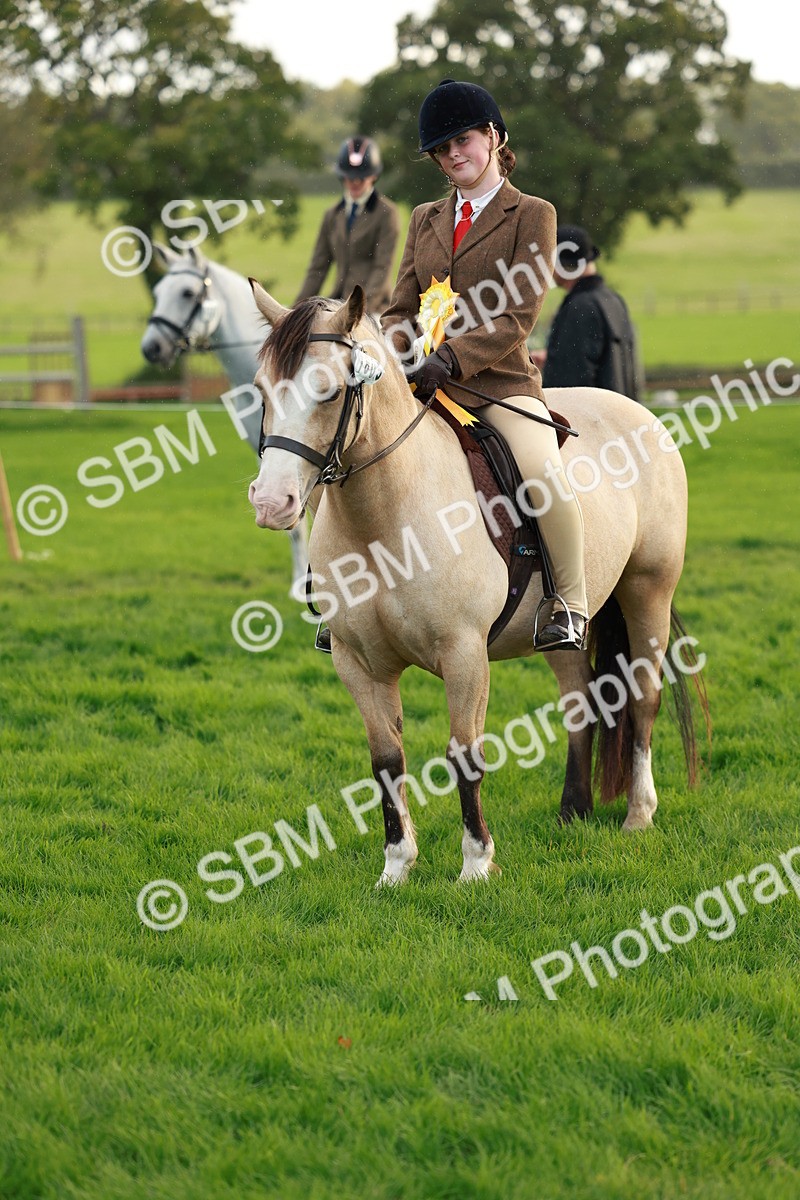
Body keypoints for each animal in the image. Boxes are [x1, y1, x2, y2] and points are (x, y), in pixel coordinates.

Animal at [247, 281, 707, 888]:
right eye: (261, 391)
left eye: (328, 391)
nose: (270, 503)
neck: (385, 519)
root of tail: (633, 408)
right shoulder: (357, 662)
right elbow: (386, 761)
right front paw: (396, 867)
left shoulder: (463, 653)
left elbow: (464, 755)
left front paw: (476, 863)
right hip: (560, 626)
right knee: (580, 699)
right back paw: (573, 811)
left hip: (647, 591)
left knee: (643, 698)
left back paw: (639, 814)